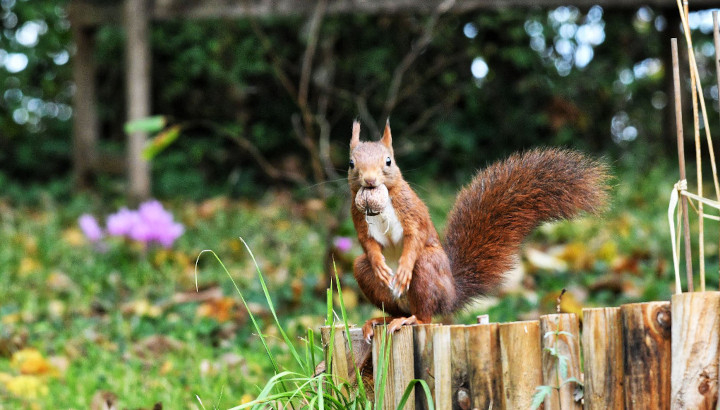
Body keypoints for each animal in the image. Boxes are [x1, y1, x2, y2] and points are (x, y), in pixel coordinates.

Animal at [348, 120, 608, 342]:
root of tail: (451, 294)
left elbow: (415, 236)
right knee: (387, 296)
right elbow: (366, 242)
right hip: (365, 273)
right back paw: (380, 320)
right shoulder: (357, 216)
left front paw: (403, 268)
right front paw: (379, 264)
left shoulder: (410, 210)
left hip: (428, 267)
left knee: (426, 315)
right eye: (351, 163)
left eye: (388, 161)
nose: (369, 180)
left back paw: (411, 319)